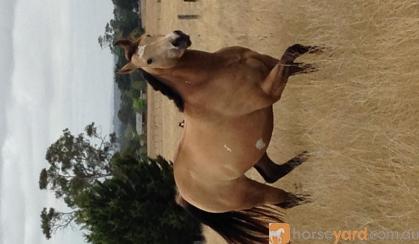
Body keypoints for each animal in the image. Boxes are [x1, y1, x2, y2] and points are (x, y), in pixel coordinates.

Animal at [116, 30, 320, 242]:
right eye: (149, 60)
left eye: (148, 35)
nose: (178, 39)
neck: (210, 76)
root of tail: (182, 195)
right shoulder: (270, 91)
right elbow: (290, 55)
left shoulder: (270, 63)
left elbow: (297, 53)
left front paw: (324, 53)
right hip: (251, 193)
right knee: (287, 199)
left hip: (256, 155)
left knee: (273, 173)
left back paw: (309, 156)